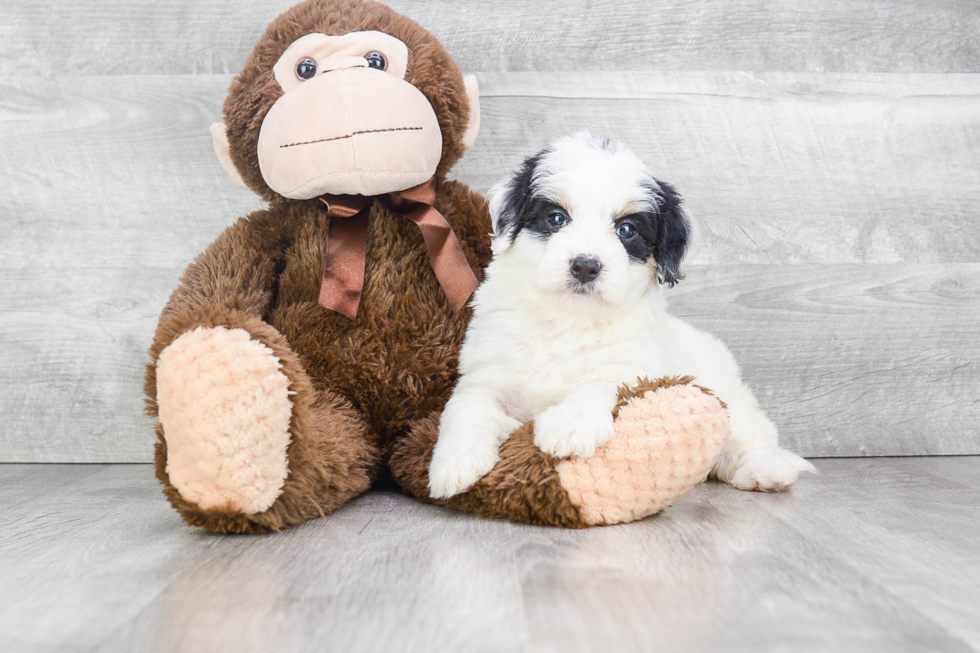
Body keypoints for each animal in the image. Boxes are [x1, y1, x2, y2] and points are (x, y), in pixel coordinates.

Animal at [426, 132, 812, 500]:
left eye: (627, 230)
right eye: (556, 219)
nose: (585, 265)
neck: (568, 320)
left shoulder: (635, 366)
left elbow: (603, 382)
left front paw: (568, 426)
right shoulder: (488, 372)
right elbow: (468, 406)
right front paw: (454, 464)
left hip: (727, 391)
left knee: (750, 434)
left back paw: (765, 469)